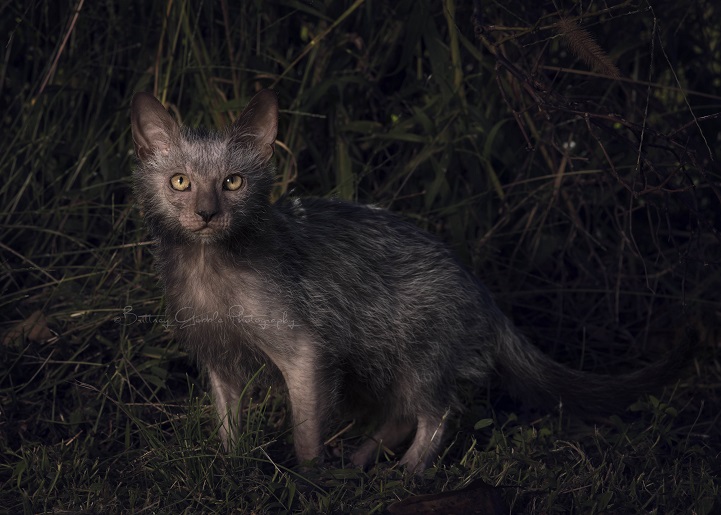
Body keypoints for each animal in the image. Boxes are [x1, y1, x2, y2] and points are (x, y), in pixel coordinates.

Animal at [131, 90, 688, 474]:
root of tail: (481, 293)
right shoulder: (218, 358)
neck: (212, 273)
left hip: (420, 354)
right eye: (180, 181)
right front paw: (231, 468)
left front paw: (308, 484)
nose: (207, 214)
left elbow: (307, 433)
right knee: (402, 414)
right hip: (382, 361)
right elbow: (228, 423)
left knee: (440, 412)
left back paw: (410, 472)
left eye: (233, 182)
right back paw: (362, 463)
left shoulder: (306, 350)